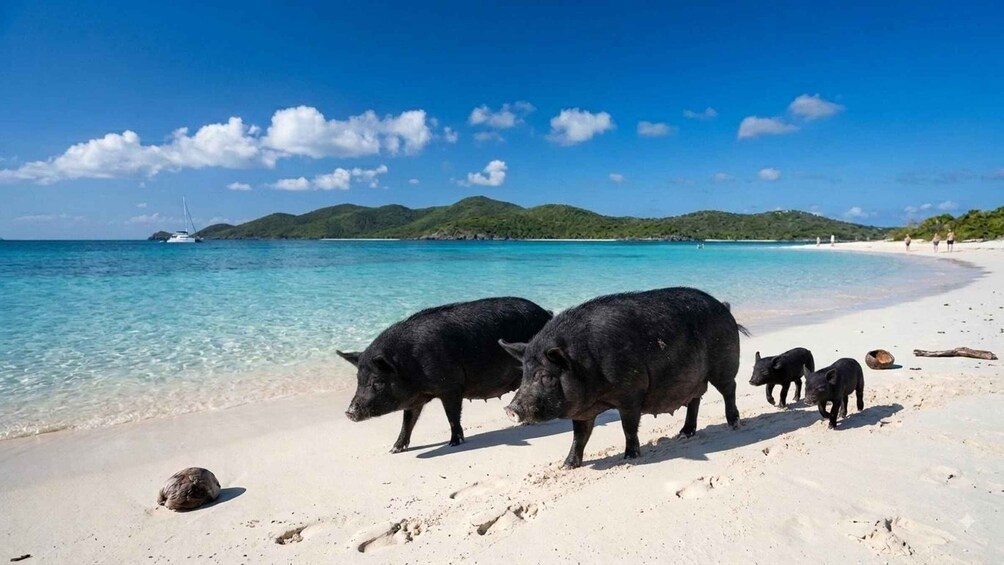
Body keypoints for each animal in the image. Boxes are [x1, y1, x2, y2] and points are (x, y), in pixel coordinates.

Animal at [337, 297, 552, 453]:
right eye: (358, 380)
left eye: (377, 382)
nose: (349, 412)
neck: (410, 365)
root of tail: (546, 313)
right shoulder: (415, 398)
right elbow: (408, 421)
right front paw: (394, 449)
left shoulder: (451, 386)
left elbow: (452, 416)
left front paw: (454, 443)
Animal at [499, 287, 748, 469]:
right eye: (524, 374)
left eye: (545, 376)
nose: (511, 409)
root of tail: (724, 307)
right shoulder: (583, 410)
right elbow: (579, 436)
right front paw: (567, 466)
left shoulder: (631, 392)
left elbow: (628, 426)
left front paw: (630, 457)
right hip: (695, 378)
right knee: (695, 399)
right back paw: (684, 434)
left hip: (725, 363)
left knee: (729, 389)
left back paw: (734, 424)